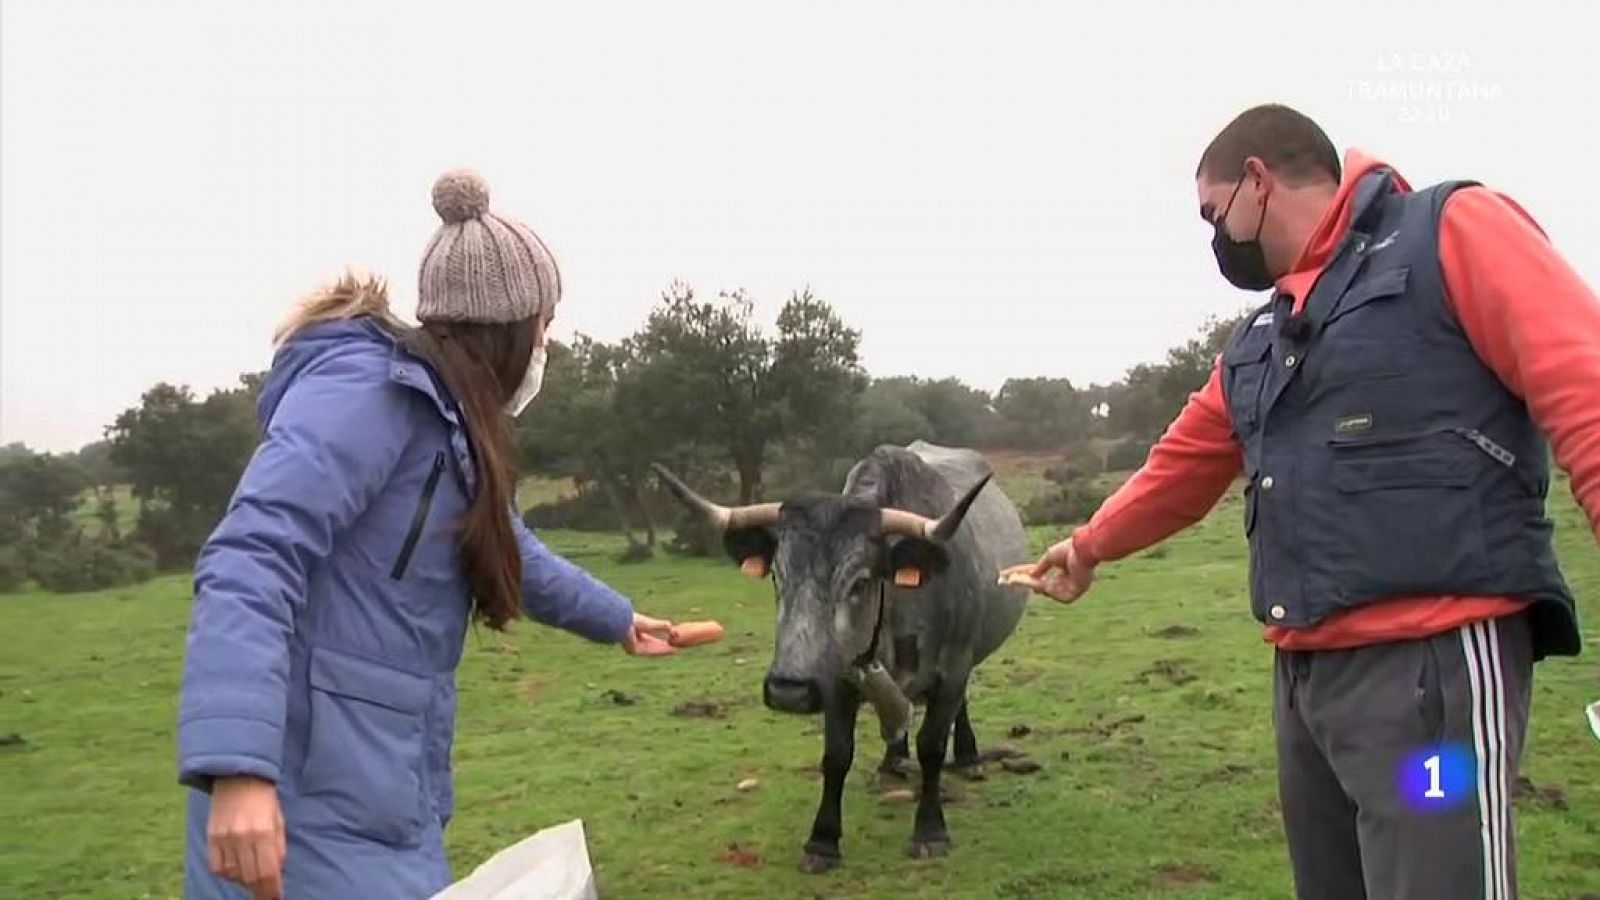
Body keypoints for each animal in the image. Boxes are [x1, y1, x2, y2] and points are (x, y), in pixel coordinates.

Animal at [656, 438, 1030, 864]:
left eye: (860, 583)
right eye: (776, 576)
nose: (788, 691)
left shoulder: (952, 669)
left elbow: (932, 747)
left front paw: (930, 830)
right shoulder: (835, 678)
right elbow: (836, 755)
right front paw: (822, 841)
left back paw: (967, 757)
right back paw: (893, 759)